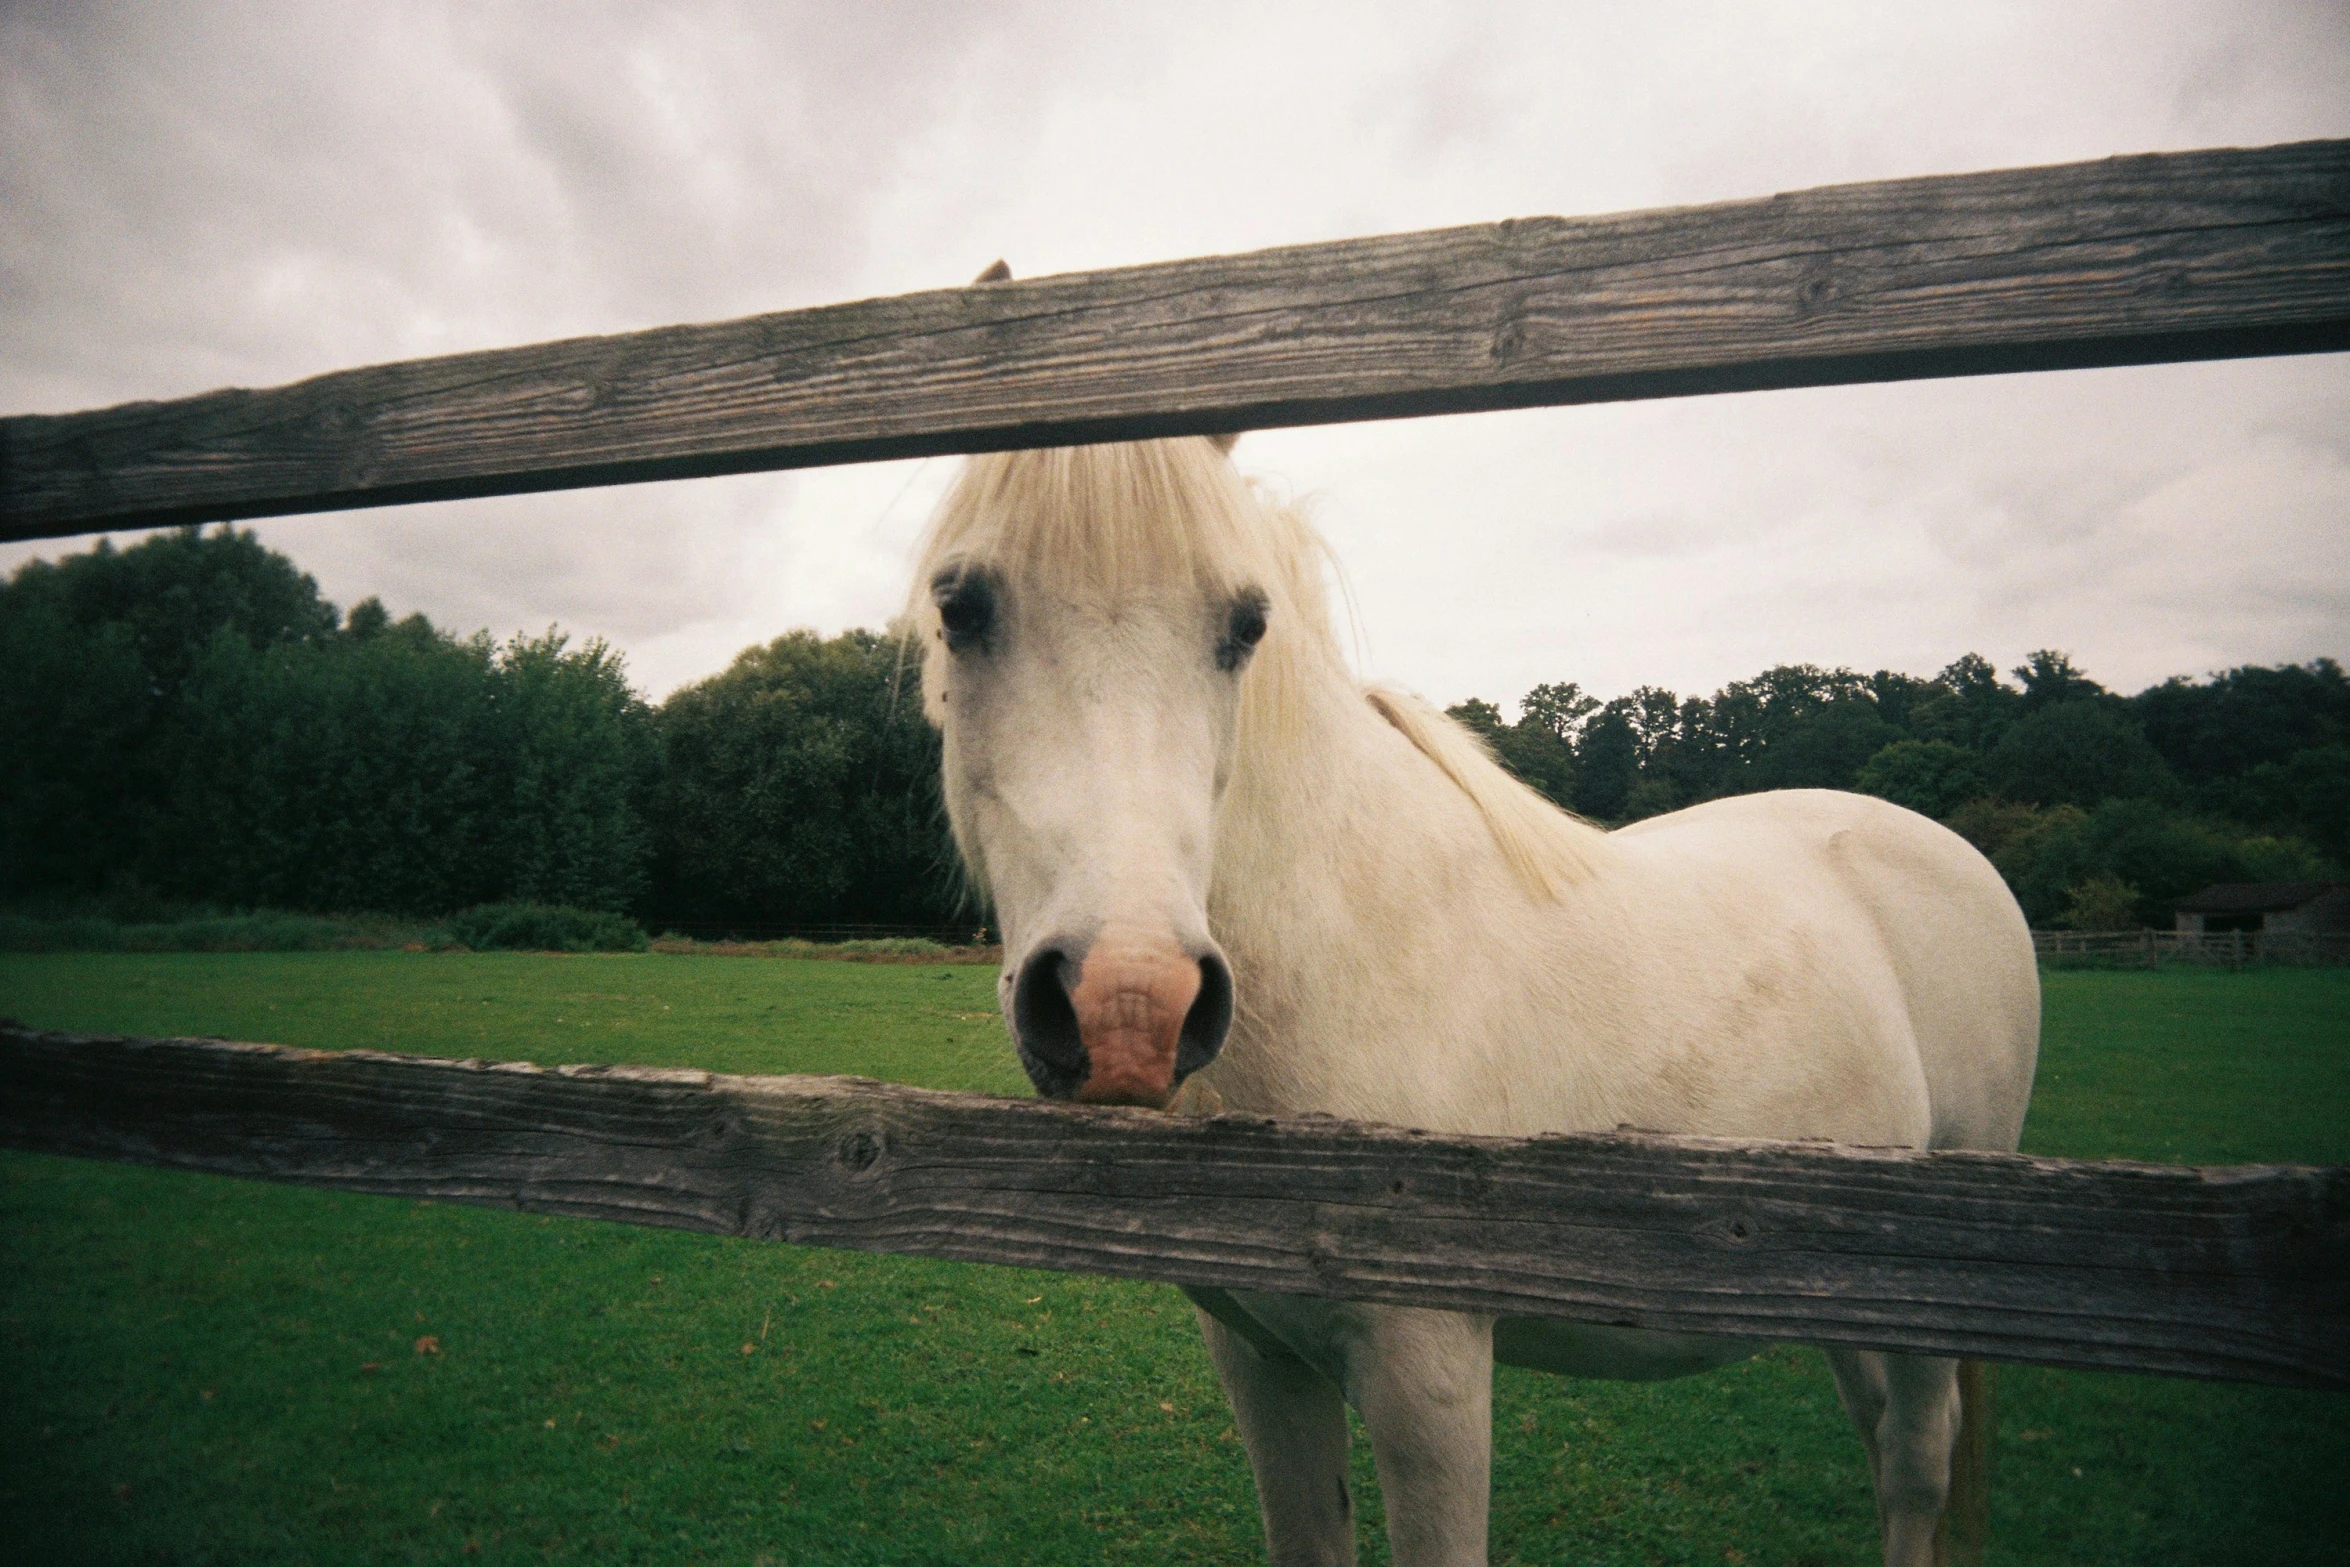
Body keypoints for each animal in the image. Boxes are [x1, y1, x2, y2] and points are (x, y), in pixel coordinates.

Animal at [897, 432, 2039, 1567]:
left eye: (1245, 624)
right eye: (962, 608)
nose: (1129, 1005)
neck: (1347, 951)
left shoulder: (1430, 1376)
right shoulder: (1265, 1362)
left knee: (1916, 1459)